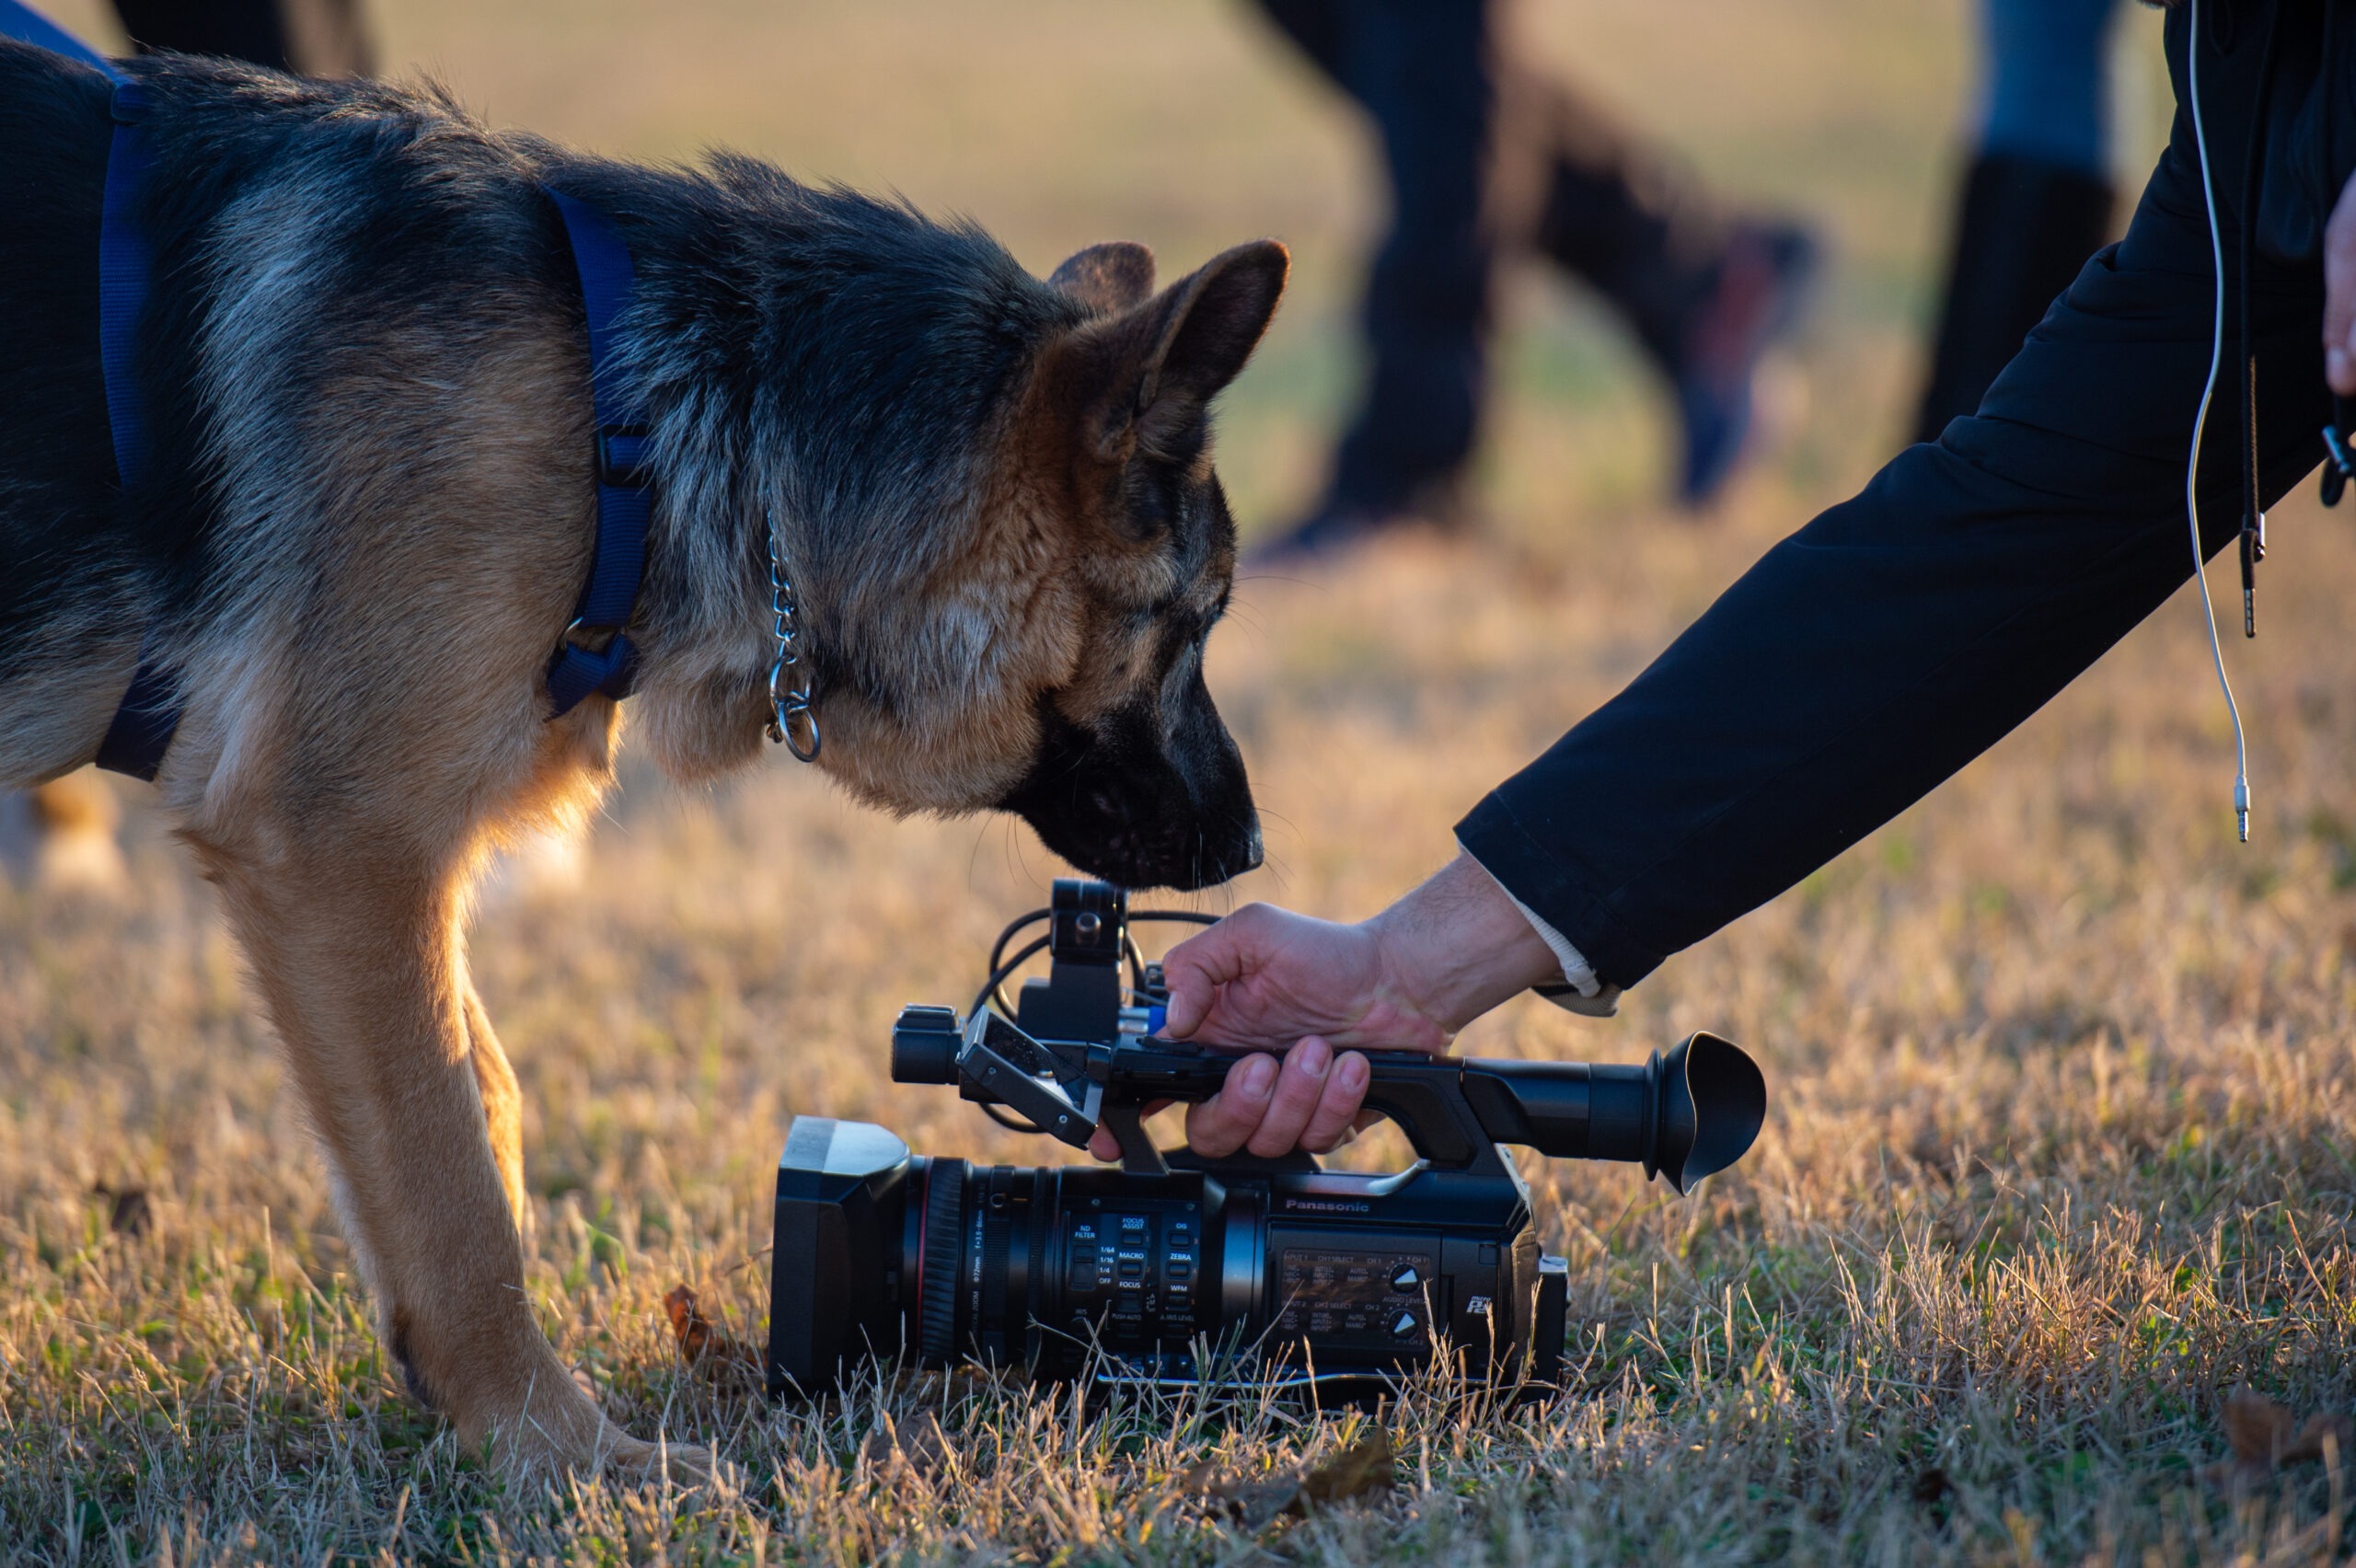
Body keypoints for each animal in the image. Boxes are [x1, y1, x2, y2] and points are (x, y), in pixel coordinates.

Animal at [5, 42, 1290, 1469]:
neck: (639, 416)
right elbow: (454, 1191)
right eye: (1192, 623)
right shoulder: (337, 850)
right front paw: (556, 1453)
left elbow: (484, 1103)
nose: (1252, 847)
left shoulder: (387, 874)